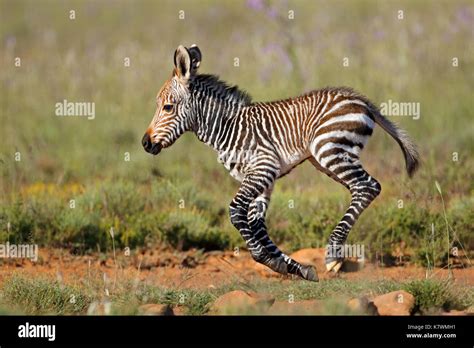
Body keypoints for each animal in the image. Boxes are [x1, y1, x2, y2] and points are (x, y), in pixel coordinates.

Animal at [141, 44, 418, 282]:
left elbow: (236, 211)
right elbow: (256, 224)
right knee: (362, 188)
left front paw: (270, 260)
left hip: (329, 149)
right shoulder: (262, 178)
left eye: (168, 107)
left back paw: (333, 255)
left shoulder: (263, 167)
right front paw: (294, 267)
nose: (145, 143)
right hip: (328, 158)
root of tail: (359, 99)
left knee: (368, 187)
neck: (226, 127)